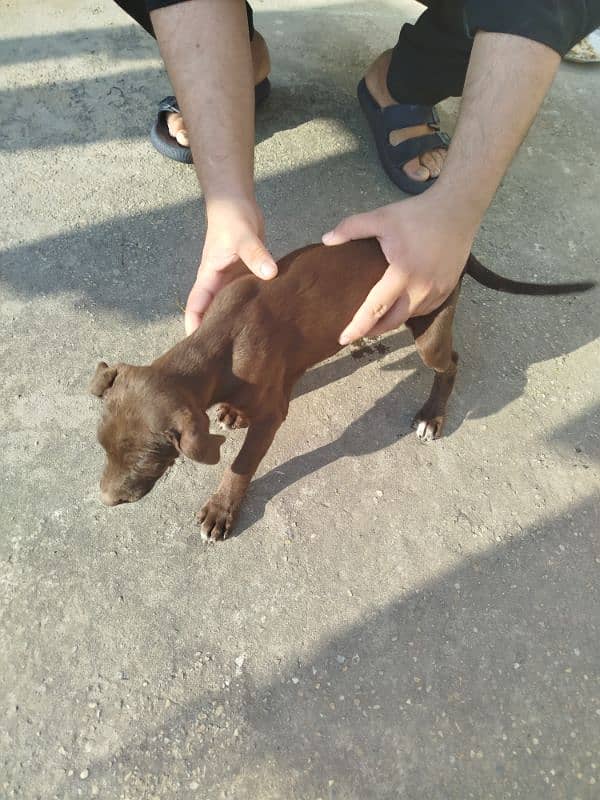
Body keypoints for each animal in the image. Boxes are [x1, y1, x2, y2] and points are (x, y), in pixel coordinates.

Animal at [91, 238, 592, 536]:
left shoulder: (274, 414)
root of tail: (457, 248)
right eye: (102, 447)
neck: (218, 343)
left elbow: (241, 464)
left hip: (431, 324)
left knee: (449, 363)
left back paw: (433, 414)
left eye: (145, 460)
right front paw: (233, 413)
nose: (107, 500)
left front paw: (222, 508)